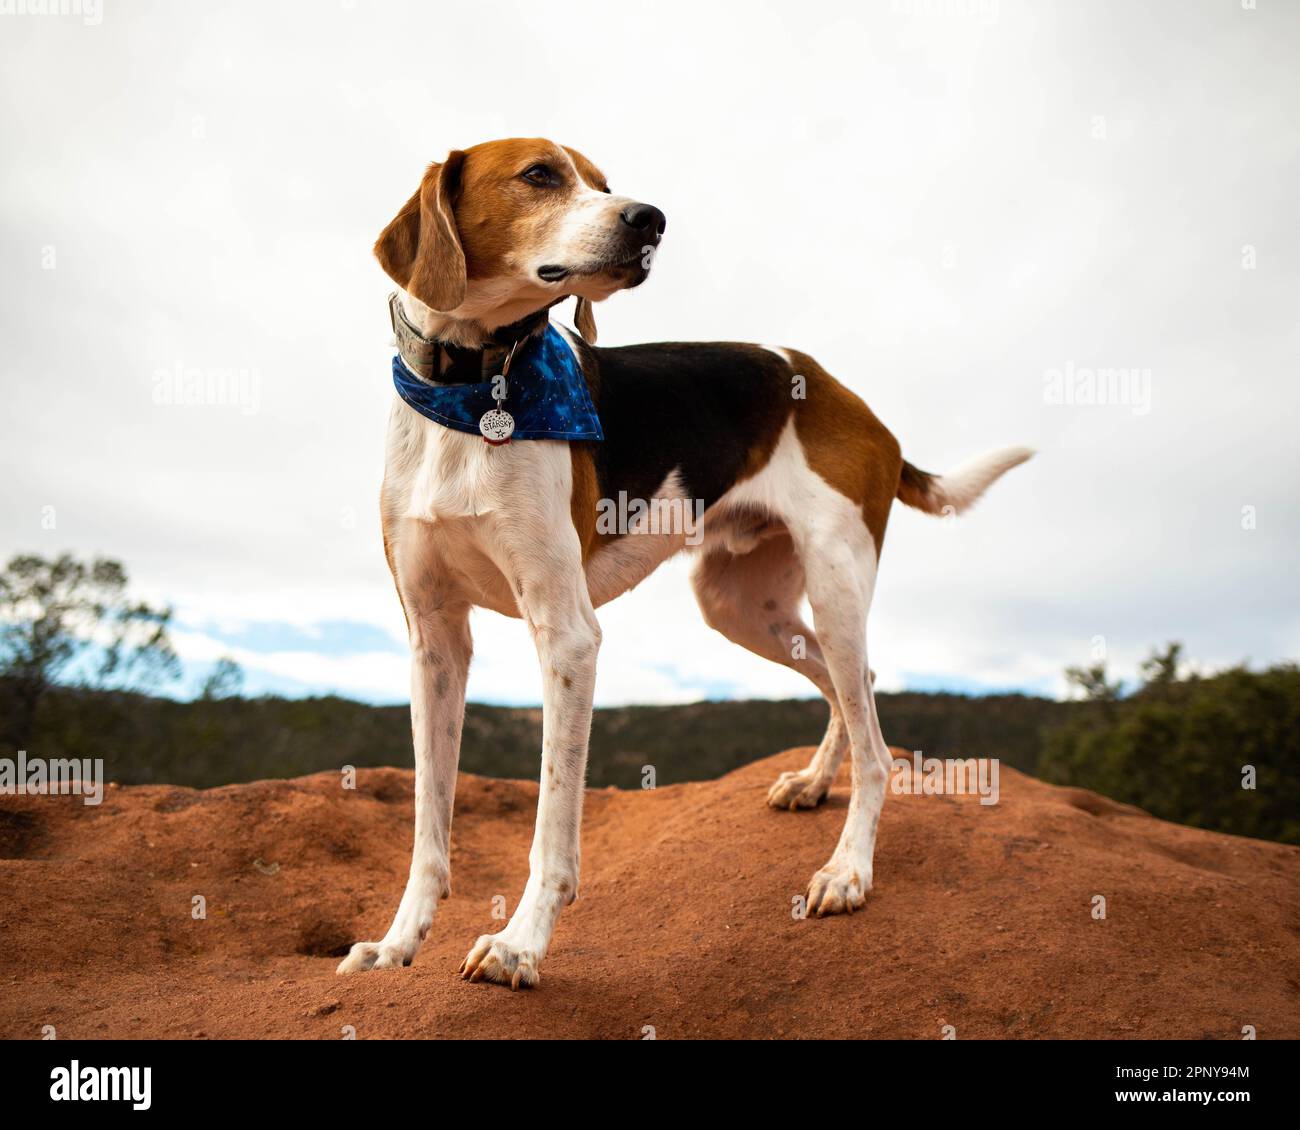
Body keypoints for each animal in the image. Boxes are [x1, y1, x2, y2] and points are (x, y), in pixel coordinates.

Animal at [340, 136, 1029, 988]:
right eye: (540, 175)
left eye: (602, 182)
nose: (650, 219)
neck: (471, 390)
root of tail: (857, 403)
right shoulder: (434, 640)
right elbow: (428, 827)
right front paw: (399, 943)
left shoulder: (567, 635)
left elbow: (551, 824)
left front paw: (520, 944)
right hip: (742, 606)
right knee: (857, 684)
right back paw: (813, 783)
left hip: (835, 584)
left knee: (877, 749)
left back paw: (847, 871)